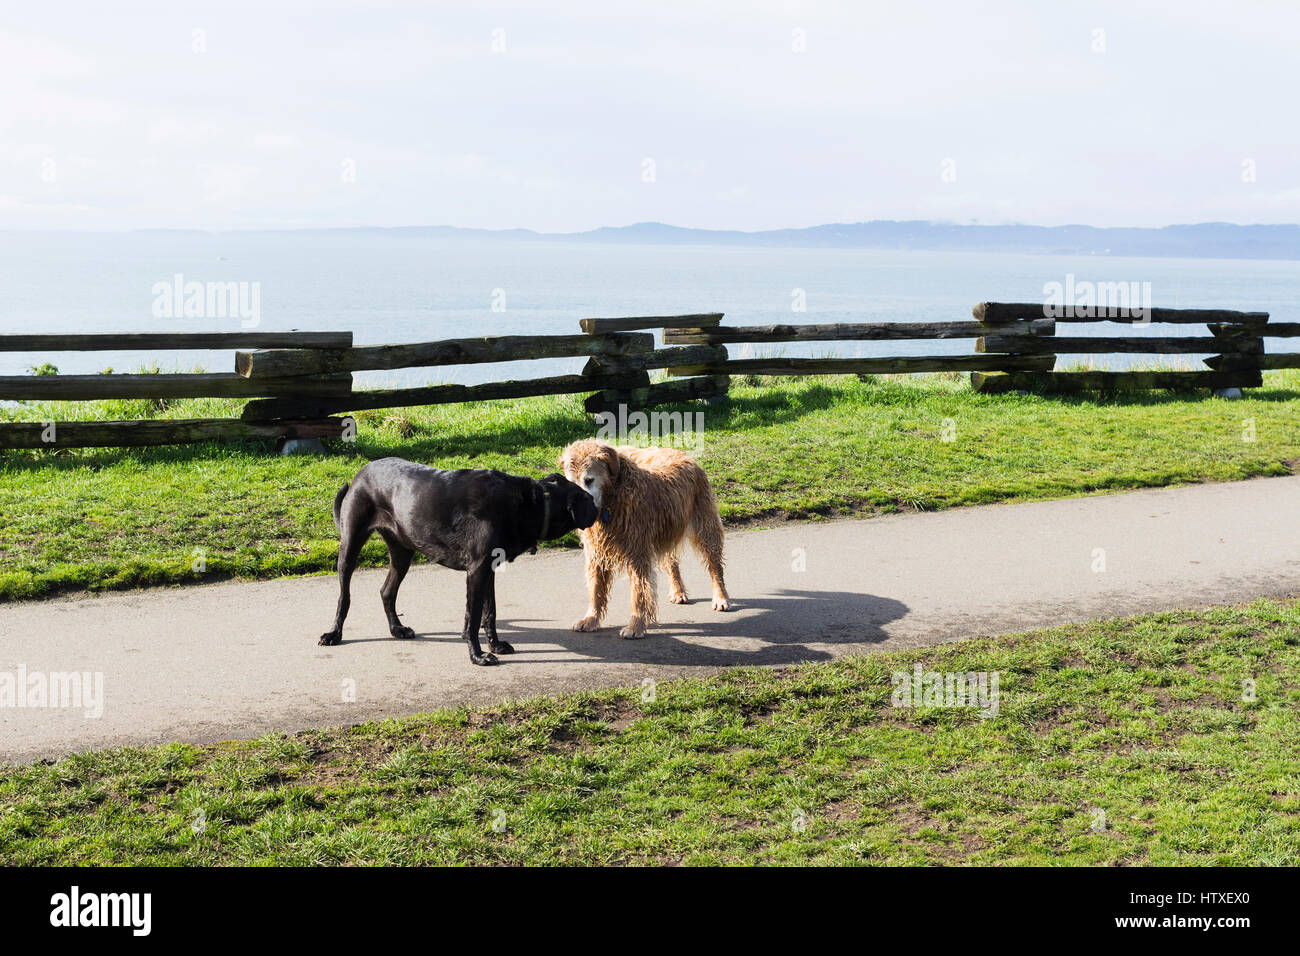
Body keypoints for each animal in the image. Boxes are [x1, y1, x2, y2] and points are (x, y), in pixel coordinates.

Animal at [317, 457, 600, 665]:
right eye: (588, 499)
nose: (600, 510)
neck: (536, 502)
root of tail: (362, 470)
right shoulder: (477, 570)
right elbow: (473, 617)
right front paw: (478, 655)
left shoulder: (489, 569)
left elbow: (490, 612)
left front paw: (495, 645)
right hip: (350, 545)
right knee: (344, 597)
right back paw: (334, 634)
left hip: (402, 551)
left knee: (387, 591)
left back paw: (397, 629)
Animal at [561, 439, 733, 634]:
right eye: (570, 483)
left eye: (589, 480)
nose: (577, 512)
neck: (613, 498)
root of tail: (681, 453)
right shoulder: (597, 551)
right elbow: (596, 588)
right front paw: (591, 619)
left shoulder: (637, 550)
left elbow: (639, 591)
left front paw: (636, 625)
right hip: (667, 529)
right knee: (671, 561)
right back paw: (678, 590)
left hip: (705, 526)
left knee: (715, 565)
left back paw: (721, 597)